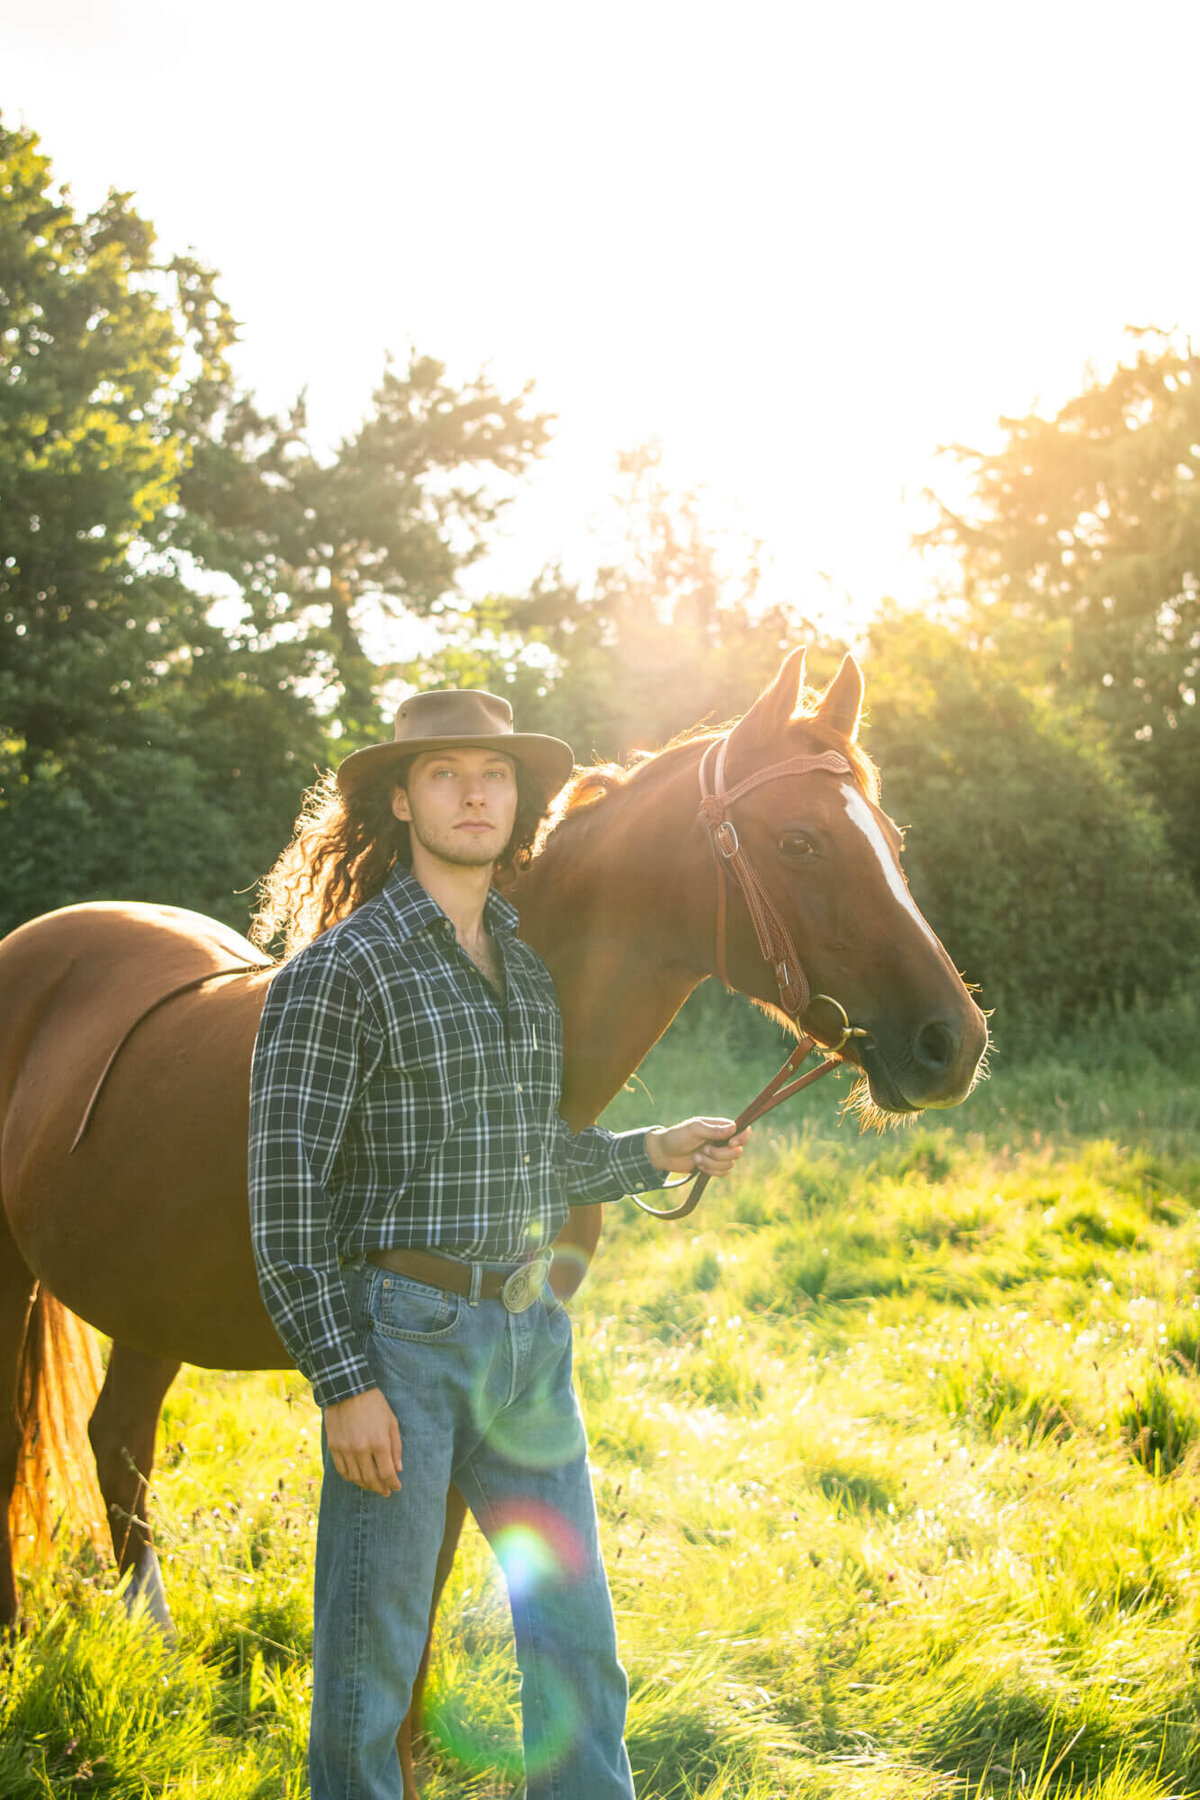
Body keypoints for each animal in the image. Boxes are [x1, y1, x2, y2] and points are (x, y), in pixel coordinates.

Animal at [0, 655, 985, 1792]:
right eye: (800, 843)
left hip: (151, 1300)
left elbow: (438, 1570)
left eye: (890, 843)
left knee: (117, 1441)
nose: (952, 1043)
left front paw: (423, 1746)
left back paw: (158, 1656)